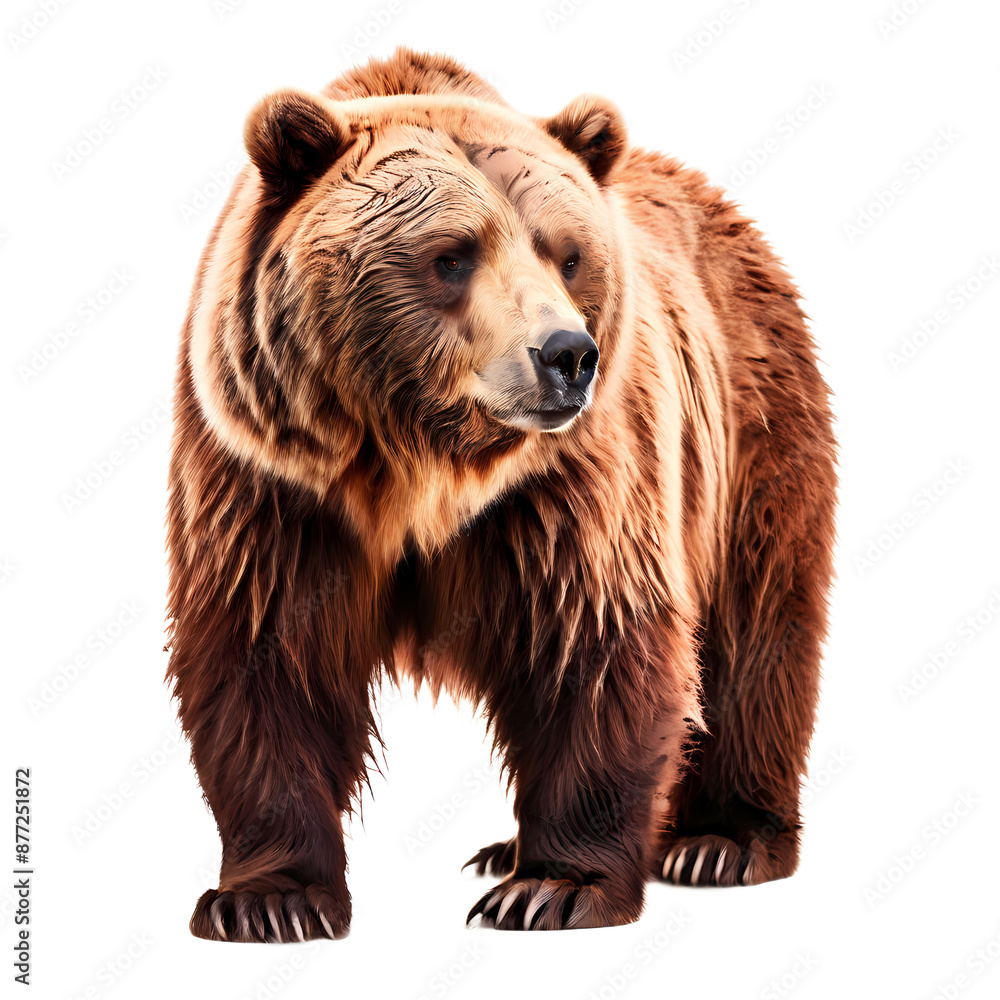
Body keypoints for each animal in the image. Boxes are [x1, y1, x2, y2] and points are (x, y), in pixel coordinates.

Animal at [165, 45, 837, 941]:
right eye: (452, 254)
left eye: (567, 253)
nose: (567, 354)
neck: (419, 462)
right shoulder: (273, 480)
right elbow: (266, 655)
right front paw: (269, 899)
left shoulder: (567, 489)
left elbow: (595, 641)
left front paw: (554, 886)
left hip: (748, 420)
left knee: (755, 624)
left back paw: (720, 840)